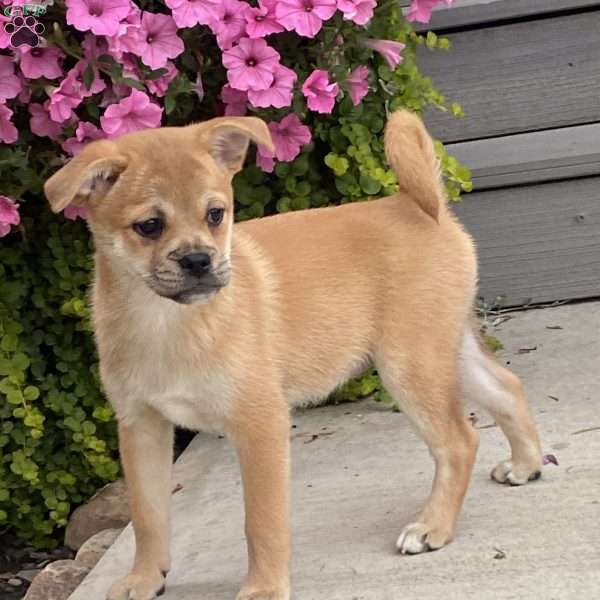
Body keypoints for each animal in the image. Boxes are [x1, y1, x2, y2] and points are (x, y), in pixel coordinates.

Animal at [44, 112, 544, 600]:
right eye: (149, 226)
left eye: (215, 214)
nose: (199, 261)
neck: (165, 322)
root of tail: (418, 204)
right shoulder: (141, 426)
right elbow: (148, 515)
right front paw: (146, 578)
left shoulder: (260, 424)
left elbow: (261, 522)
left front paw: (264, 588)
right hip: (445, 351)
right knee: (506, 388)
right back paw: (526, 465)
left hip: (410, 365)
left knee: (459, 441)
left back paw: (432, 526)